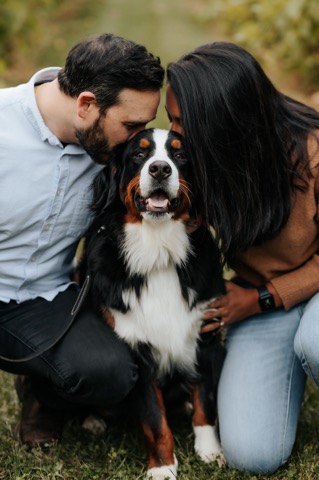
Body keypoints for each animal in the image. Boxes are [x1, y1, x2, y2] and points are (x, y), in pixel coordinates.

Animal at [81, 128, 229, 480]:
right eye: (139, 154)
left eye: (180, 155)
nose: (160, 169)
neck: (159, 253)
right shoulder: (137, 350)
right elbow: (154, 418)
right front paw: (162, 467)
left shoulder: (205, 333)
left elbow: (205, 401)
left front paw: (210, 451)